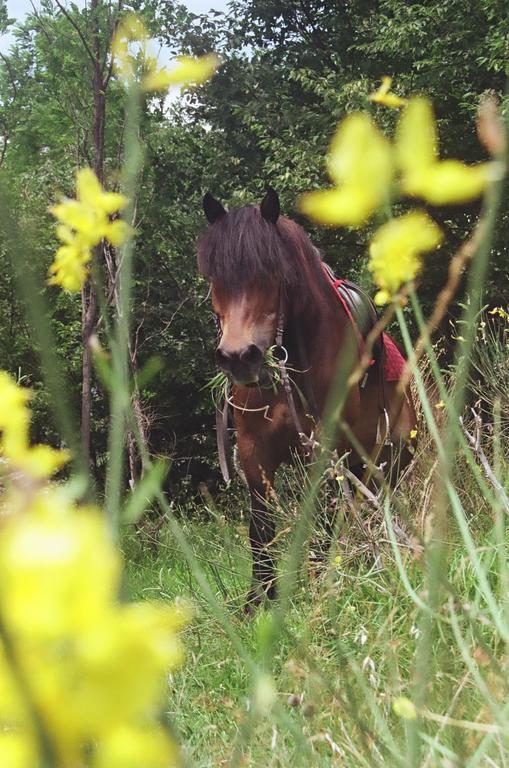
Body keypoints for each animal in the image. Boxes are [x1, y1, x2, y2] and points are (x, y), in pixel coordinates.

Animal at [196, 188, 414, 612]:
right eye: (215, 277)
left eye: (271, 273)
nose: (239, 358)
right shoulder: (253, 451)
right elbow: (261, 525)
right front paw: (259, 599)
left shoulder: (328, 449)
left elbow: (324, 519)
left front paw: (317, 589)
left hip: (387, 462)